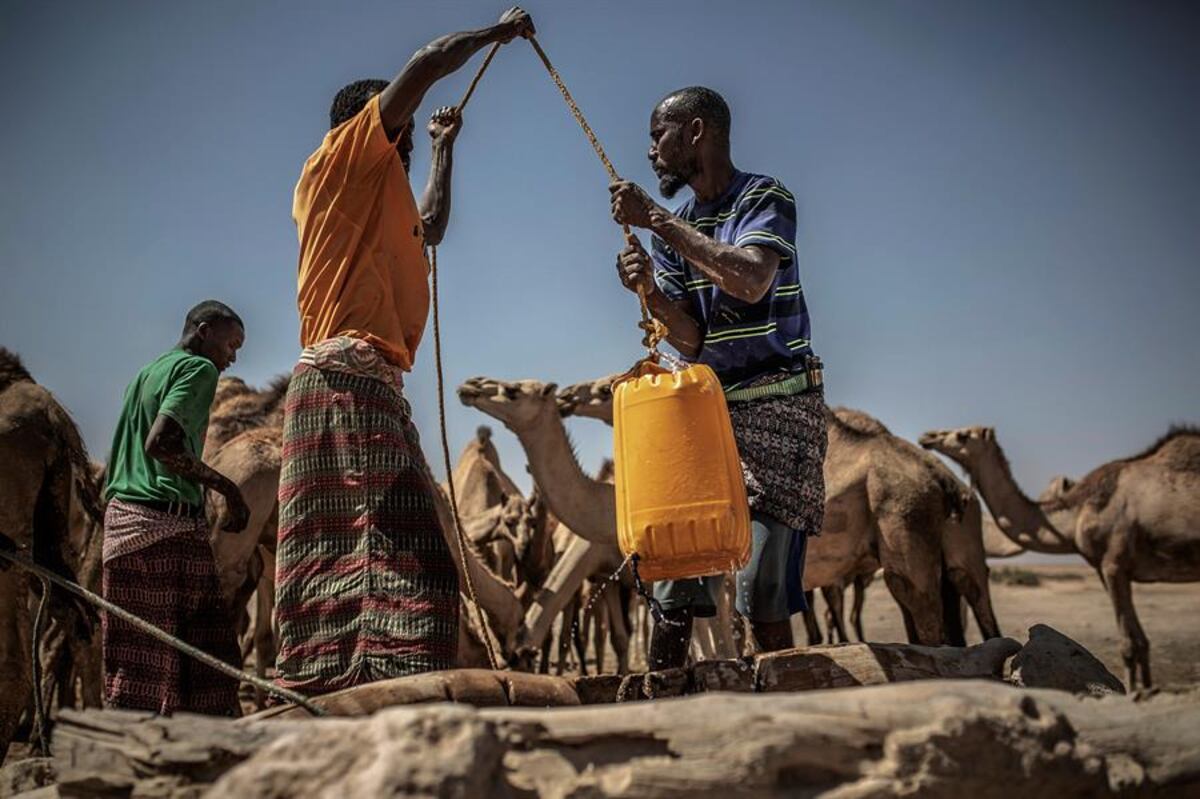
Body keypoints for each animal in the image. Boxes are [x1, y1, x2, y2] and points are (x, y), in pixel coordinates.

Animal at [921, 422, 1195, 686]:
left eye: (963, 435)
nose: (928, 436)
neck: (1078, 512)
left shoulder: (1113, 565)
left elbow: (1130, 643)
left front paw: (1138, 692)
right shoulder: (1108, 569)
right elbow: (1140, 641)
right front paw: (1147, 689)